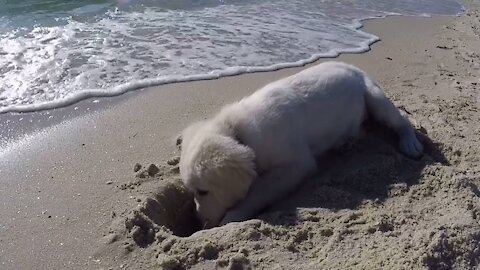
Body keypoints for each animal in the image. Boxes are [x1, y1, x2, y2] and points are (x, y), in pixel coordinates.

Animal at [178, 61, 422, 228]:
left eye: (203, 191)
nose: (197, 220)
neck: (238, 131)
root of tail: (353, 67)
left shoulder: (297, 164)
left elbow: (259, 189)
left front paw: (234, 216)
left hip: (375, 96)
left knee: (401, 119)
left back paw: (410, 142)